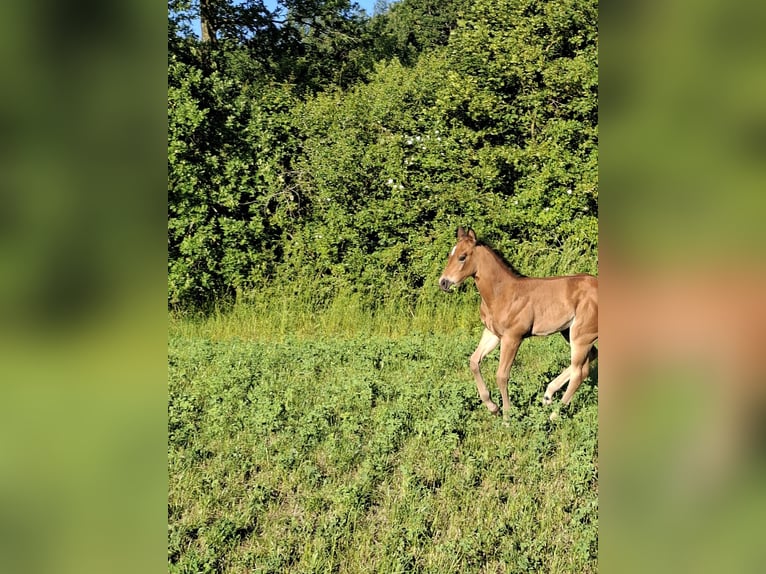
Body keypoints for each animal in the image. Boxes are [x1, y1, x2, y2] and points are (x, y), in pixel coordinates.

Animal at [438, 227, 598, 419]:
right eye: (450, 254)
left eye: (462, 257)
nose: (443, 282)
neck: (501, 293)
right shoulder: (492, 333)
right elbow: (474, 361)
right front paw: (493, 407)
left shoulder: (513, 338)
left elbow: (501, 375)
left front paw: (507, 417)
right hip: (570, 332)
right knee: (588, 361)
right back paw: (547, 396)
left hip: (581, 336)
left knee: (579, 372)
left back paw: (553, 415)